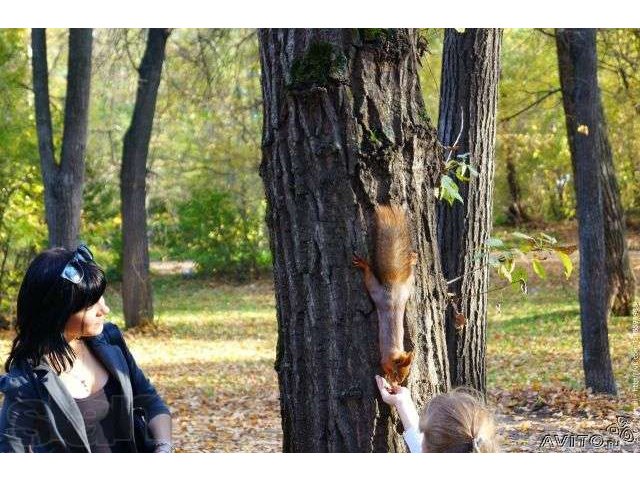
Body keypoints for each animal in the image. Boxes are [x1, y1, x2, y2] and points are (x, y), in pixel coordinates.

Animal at [352, 204, 418, 392]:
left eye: (405, 373)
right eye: (397, 371)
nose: (399, 381)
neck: (395, 351)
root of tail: (393, 287)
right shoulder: (384, 359)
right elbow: (382, 365)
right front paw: (388, 378)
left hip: (404, 290)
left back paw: (412, 260)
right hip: (379, 292)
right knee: (370, 279)